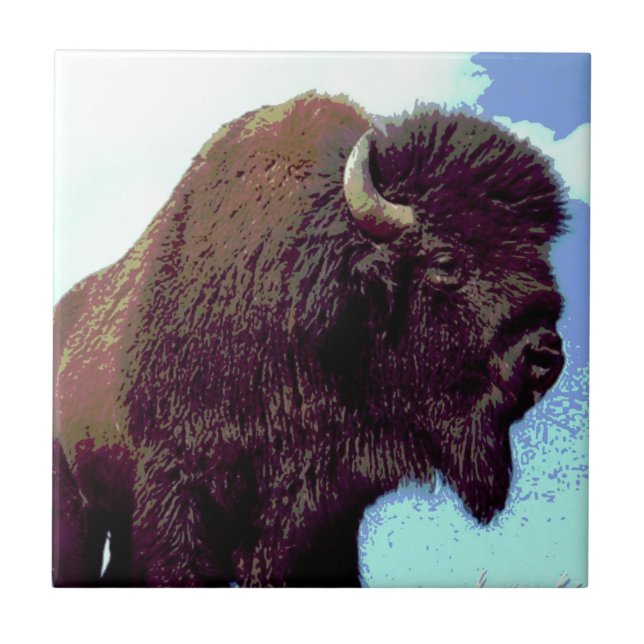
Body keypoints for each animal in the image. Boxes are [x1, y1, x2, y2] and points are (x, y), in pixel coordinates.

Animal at [53, 91, 565, 587]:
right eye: (445, 262)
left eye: (540, 258)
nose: (544, 356)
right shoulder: (177, 486)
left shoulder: (326, 511)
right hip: (75, 504)